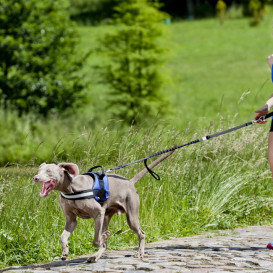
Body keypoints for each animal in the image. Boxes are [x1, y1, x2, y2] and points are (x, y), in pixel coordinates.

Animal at [31, 151, 172, 262]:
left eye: (49, 171)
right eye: (39, 170)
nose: (35, 178)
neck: (71, 188)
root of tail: (130, 182)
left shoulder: (98, 212)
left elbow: (97, 240)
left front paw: (104, 237)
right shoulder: (71, 219)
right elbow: (63, 236)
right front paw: (65, 252)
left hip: (130, 215)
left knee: (141, 233)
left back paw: (139, 252)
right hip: (107, 216)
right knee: (106, 241)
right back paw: (95, 256)